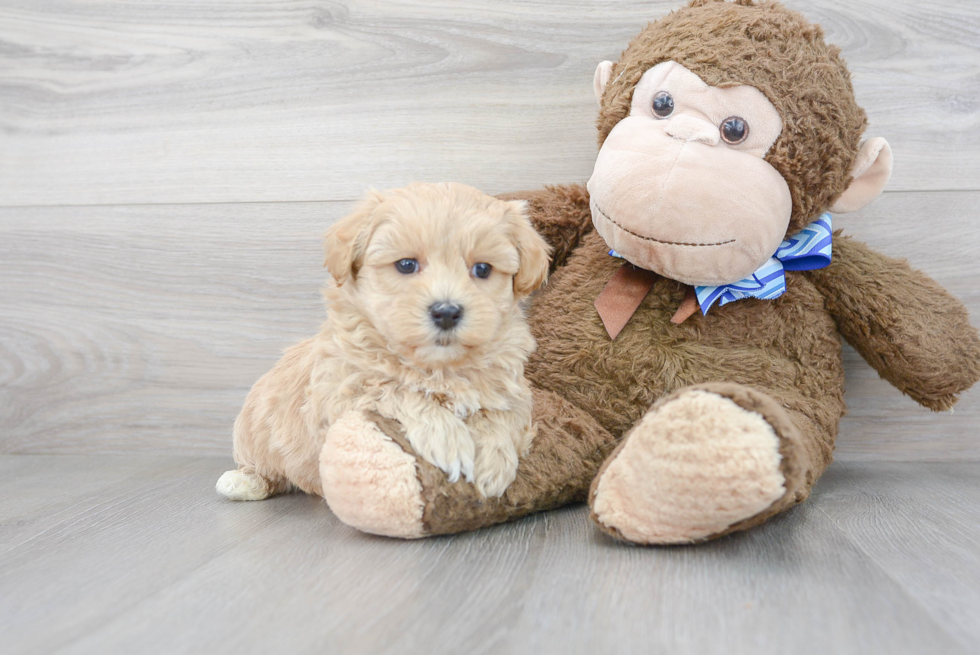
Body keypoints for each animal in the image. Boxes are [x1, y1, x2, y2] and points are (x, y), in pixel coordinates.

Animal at [216, 184, 552, 502]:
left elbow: (501, 416)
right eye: (405, 265)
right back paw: (242, 482)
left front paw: (494, 462)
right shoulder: (339, 395)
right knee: (263, 470)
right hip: (251, 435)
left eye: (482, 269)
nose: (446, 312)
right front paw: (449, 440)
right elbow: (396, 389)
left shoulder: (513, 392)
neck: (437, 366)